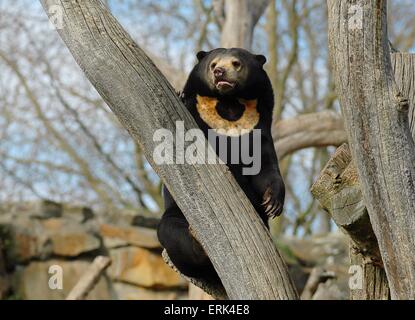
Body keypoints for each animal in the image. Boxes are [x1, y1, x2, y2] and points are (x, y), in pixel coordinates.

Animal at [157, 47, 286, 282]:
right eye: (213, 64)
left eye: (236, 63)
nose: (219, 72)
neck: (229, 103)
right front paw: (179, 93)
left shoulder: (258, 128)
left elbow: (265, 168)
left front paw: (273, 203)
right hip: (176, 213)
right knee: (171, 231)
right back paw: (198, 244)